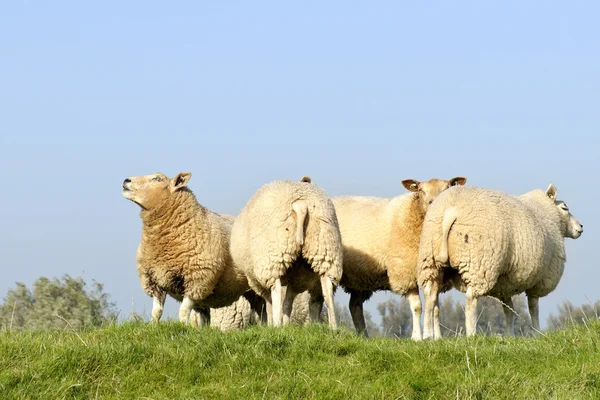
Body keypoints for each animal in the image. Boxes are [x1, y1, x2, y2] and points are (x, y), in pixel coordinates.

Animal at [123, 172, 262, 324]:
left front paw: (183, 326)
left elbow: (183, 311)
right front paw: (153, 326)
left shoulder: (197, 278)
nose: (126, 180)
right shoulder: (154, 281)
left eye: (157, 179)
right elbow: (156, 312)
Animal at [230, 179, 342, 328]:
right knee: (327, 288)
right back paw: (333, 327)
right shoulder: (295, 279)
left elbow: (270, 304)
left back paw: (277, 325)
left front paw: (274, 324)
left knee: (276, 291)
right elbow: (287, 303)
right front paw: (286, 325)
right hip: (324, 249)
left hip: (273, 257)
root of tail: (301, 204)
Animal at [332, 177, 468, 340]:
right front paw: (417, 337)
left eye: (447, 188)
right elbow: (417, 307)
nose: (433, 203)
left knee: (354, 306)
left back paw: (363, 336)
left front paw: (437, 337)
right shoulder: (404, 272)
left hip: (361, 276)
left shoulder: (434, 274)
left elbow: (435, 308)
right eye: (421, 190)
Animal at [418, 184, 580, 338]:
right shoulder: (540, 281)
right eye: (565, 208)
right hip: (480, 263)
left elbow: (509, 309)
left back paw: (428, 334)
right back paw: (471, 334)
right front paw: (537, 333)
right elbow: (533, 308)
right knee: (471, 298)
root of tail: (451, 210)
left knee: (430, 294)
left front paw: (510, 335)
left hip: (431, 263)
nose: (581, 227)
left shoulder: (504, 283)